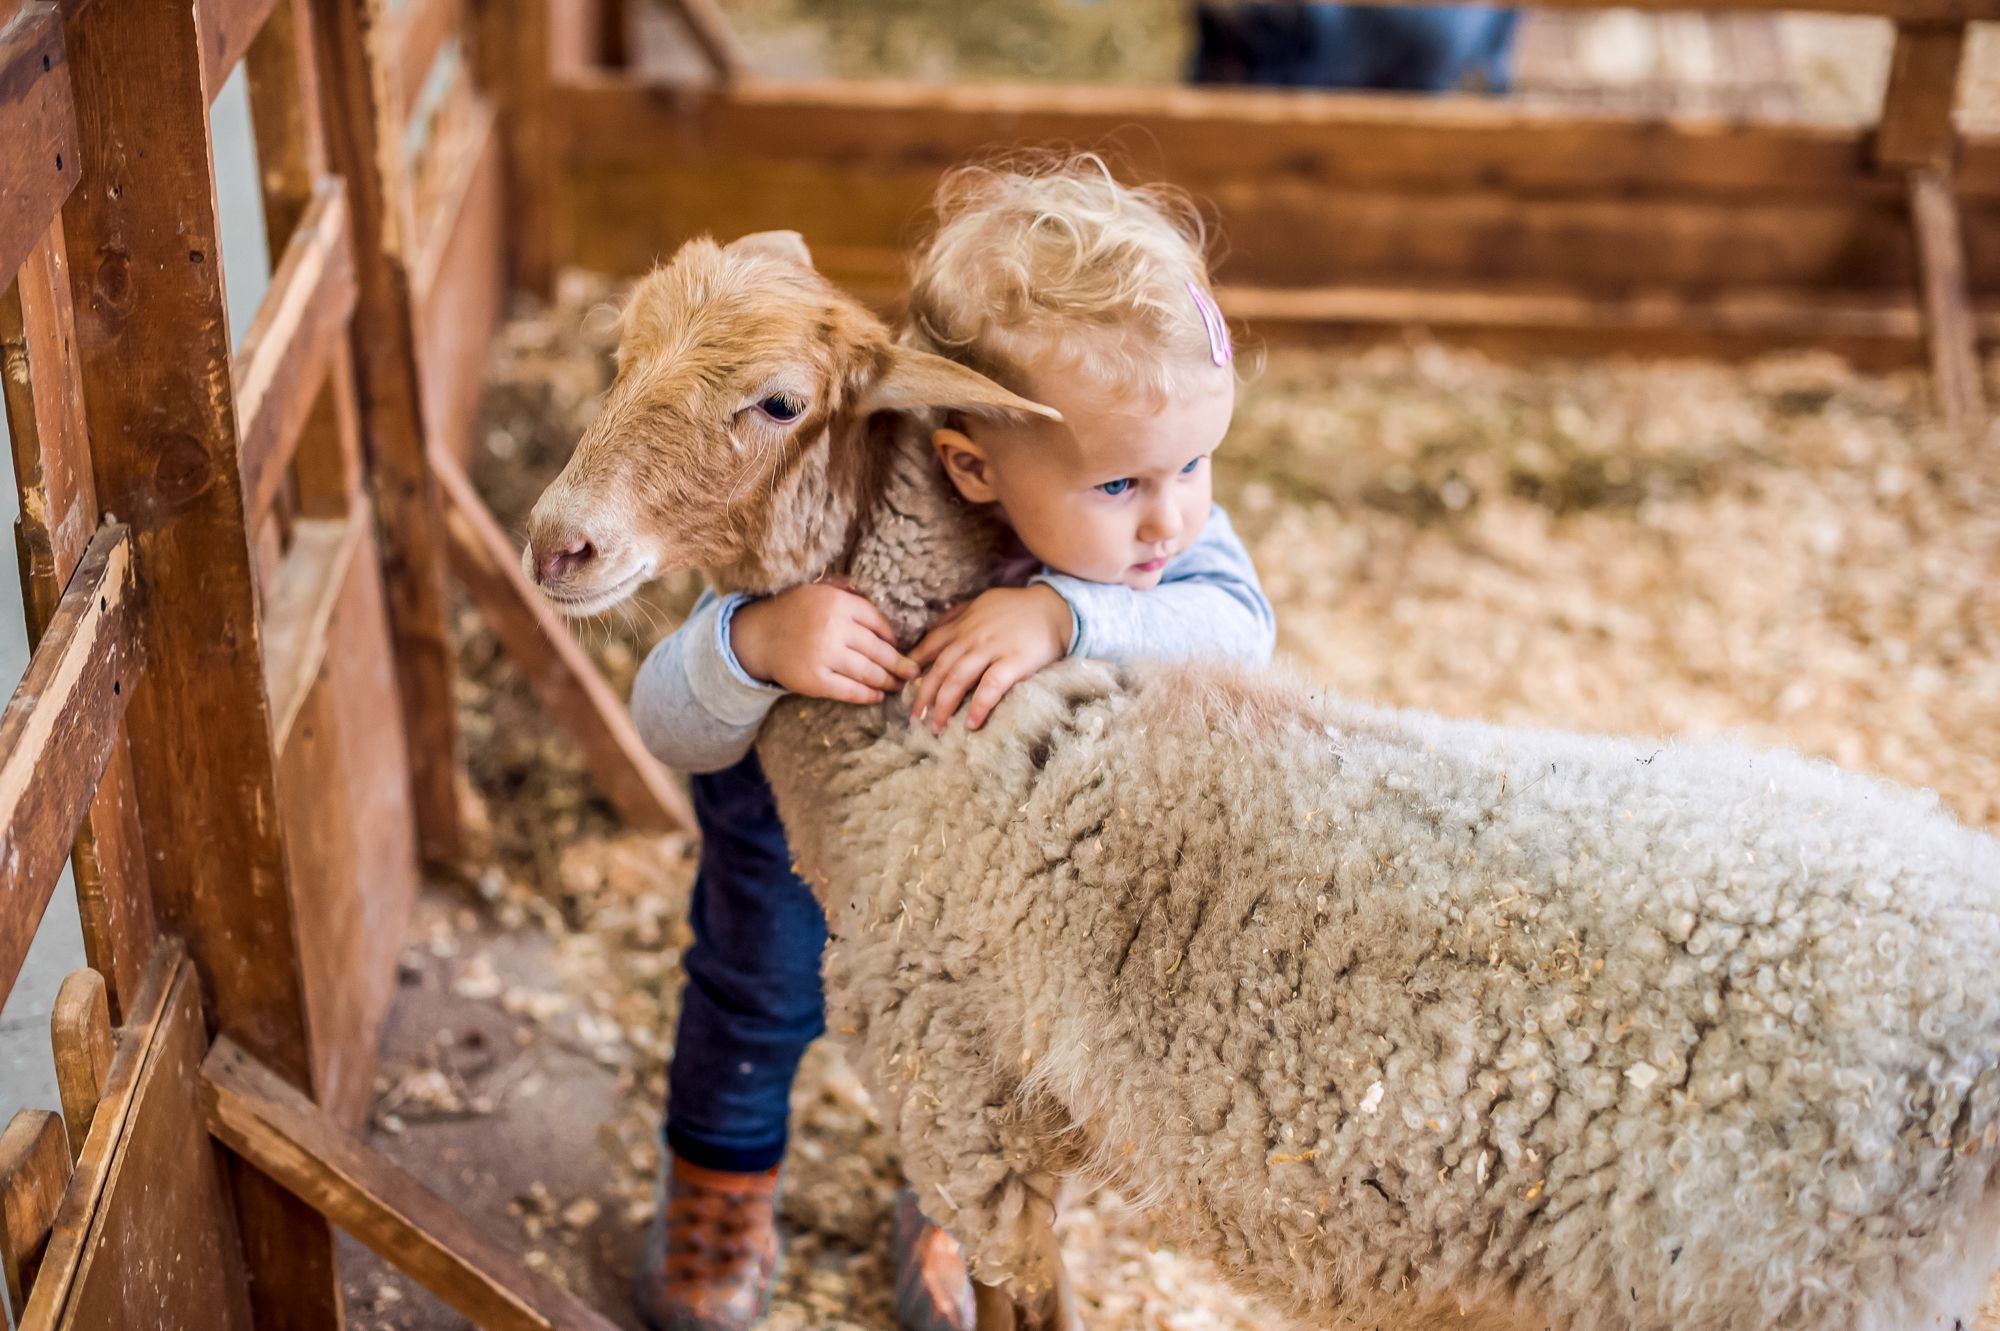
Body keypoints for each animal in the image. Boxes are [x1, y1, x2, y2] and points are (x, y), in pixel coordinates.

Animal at [524, 230, 2000, 1327]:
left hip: (1779, 1276)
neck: (930, 756)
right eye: (621, 353)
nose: (556, 544)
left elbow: (1022, 1302)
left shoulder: (966, 1112)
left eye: (775, 401)